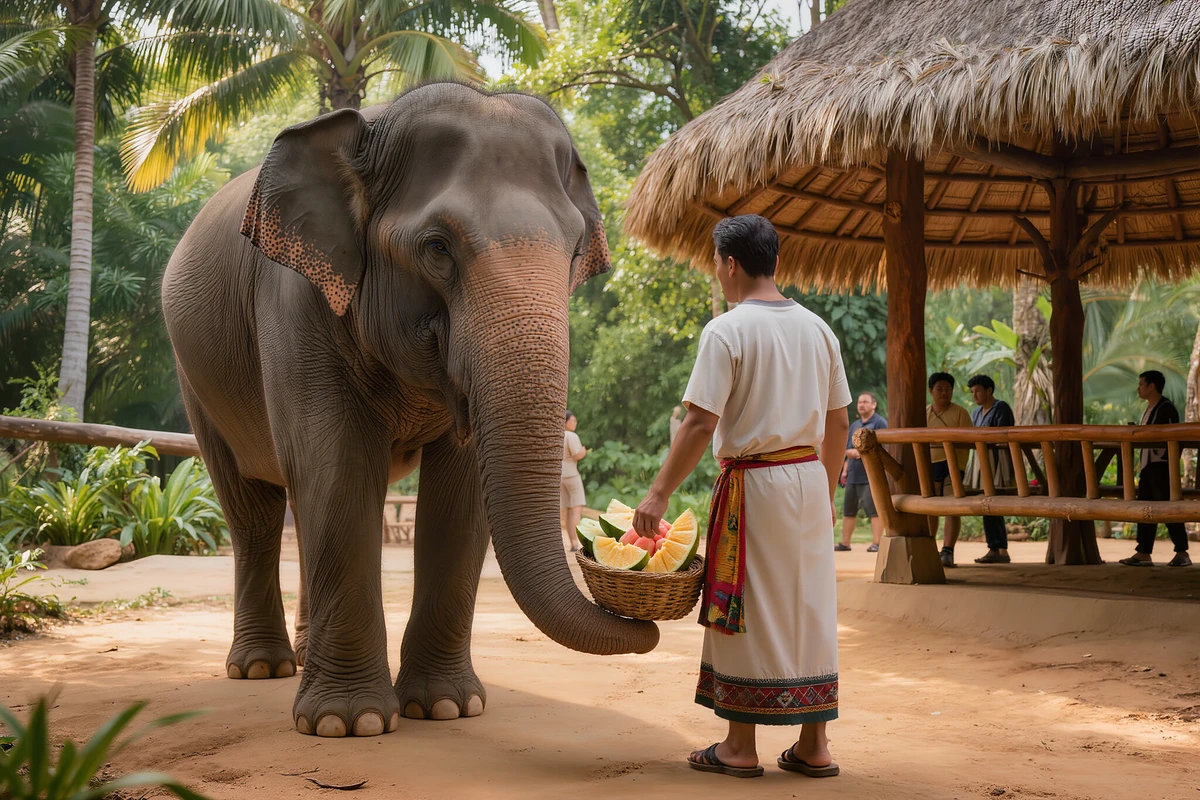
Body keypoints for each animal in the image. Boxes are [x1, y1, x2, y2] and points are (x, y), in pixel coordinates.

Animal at [161, 82, 659, 738]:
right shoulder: (296, 299)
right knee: (253, 510)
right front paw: (348, 723)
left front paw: (446, 707)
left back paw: (302, 653)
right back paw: (262, 668)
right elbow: (338, 466)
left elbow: (459, 492)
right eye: (437, 248)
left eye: (576, 249)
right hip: (195, 379)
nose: (642, 619)